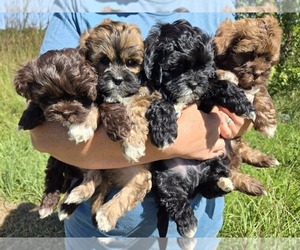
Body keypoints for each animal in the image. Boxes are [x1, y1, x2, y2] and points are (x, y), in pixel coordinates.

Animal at [144, 18, 256, 237]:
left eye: (204, 67)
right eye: (176, 67)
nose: (194, 83)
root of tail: (193, 180)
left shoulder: (205, 97)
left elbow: (220, 85)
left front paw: (244, 105)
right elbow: (160, 103)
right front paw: (164, 131)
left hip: (216, 161)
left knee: (211, 185)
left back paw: (223, 183)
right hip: (164, 179)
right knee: (174, 198)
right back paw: (188, 225)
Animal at [213, 15, 284, 196]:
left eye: (267, 58)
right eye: (248, 54)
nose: (258, 73)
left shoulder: (256, 85)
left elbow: (262, 91)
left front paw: (268, 124)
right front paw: (226, 75)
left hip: (237, 142)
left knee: (244, 151)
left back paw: (265, 159)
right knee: (228, 173)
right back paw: (250, 183)